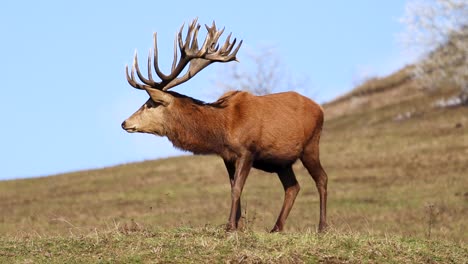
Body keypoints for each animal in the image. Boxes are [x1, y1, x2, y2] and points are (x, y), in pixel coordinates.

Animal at [122, 18, 330, 232]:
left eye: (149, 104)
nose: (125, 122)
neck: (223, 128)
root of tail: (320, 108)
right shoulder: (228, 156)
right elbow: (233, 187)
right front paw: (237, 225)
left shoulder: (247, 151)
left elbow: (237, 188)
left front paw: (230, 227)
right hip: (281, 161)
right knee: (293, 186)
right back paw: (276, 228)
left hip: (310, 145)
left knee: (322, 178)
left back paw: (322, 226)